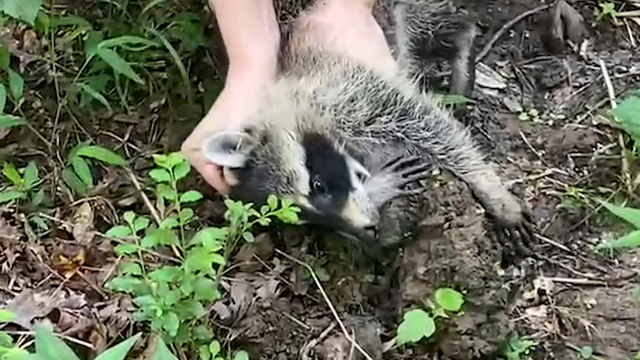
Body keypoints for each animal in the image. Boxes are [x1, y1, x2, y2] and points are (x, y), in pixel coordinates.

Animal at [202, 0, 532, 253]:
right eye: (306, 217)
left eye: (318, 185)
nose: (366, 227)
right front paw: (379, 196)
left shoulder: (352, 94)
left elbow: (433, 127)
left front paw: (493, 191)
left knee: (434, 19)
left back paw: (463, 44)